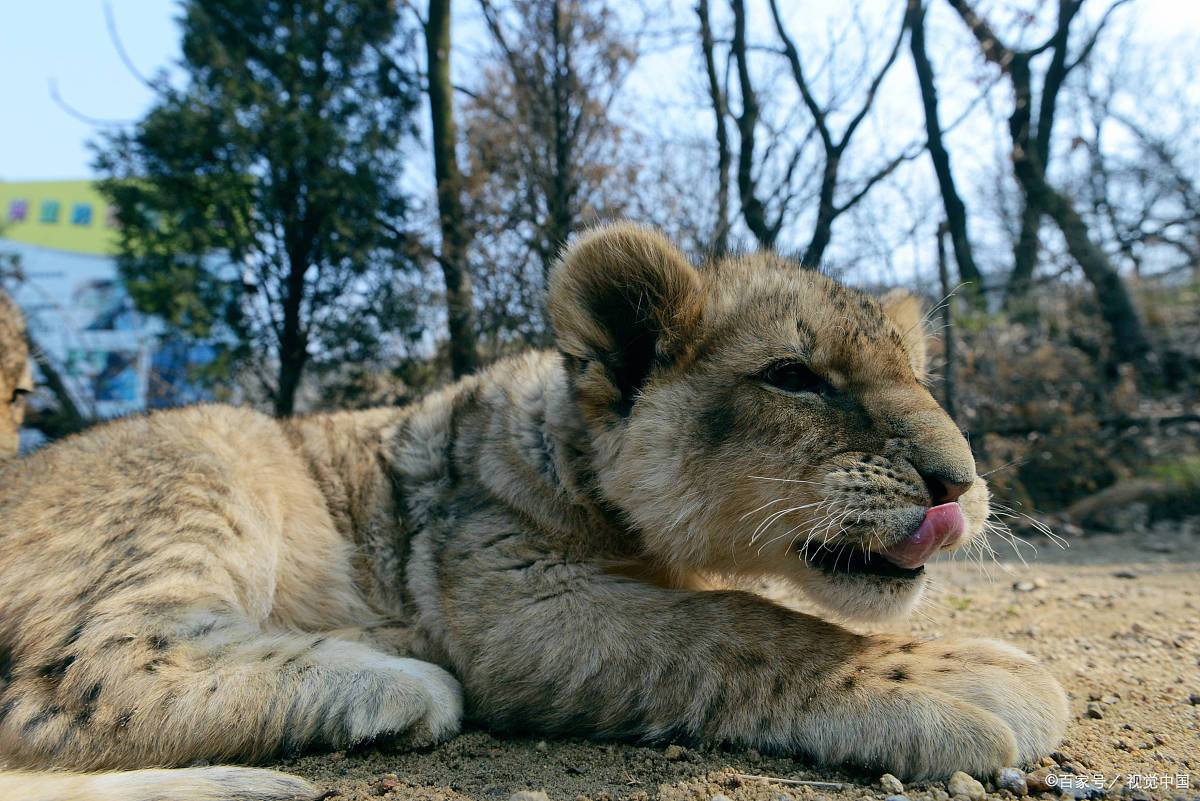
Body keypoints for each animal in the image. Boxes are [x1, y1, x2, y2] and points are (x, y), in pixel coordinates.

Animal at [0, 225, 1067, 801]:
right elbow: (739, 624)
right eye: (794, 377)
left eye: (919, 374)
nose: (960, 482)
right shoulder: (506, 603)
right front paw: (965, 673)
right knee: (79, 681)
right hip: (195, 467)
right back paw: (385, 679)